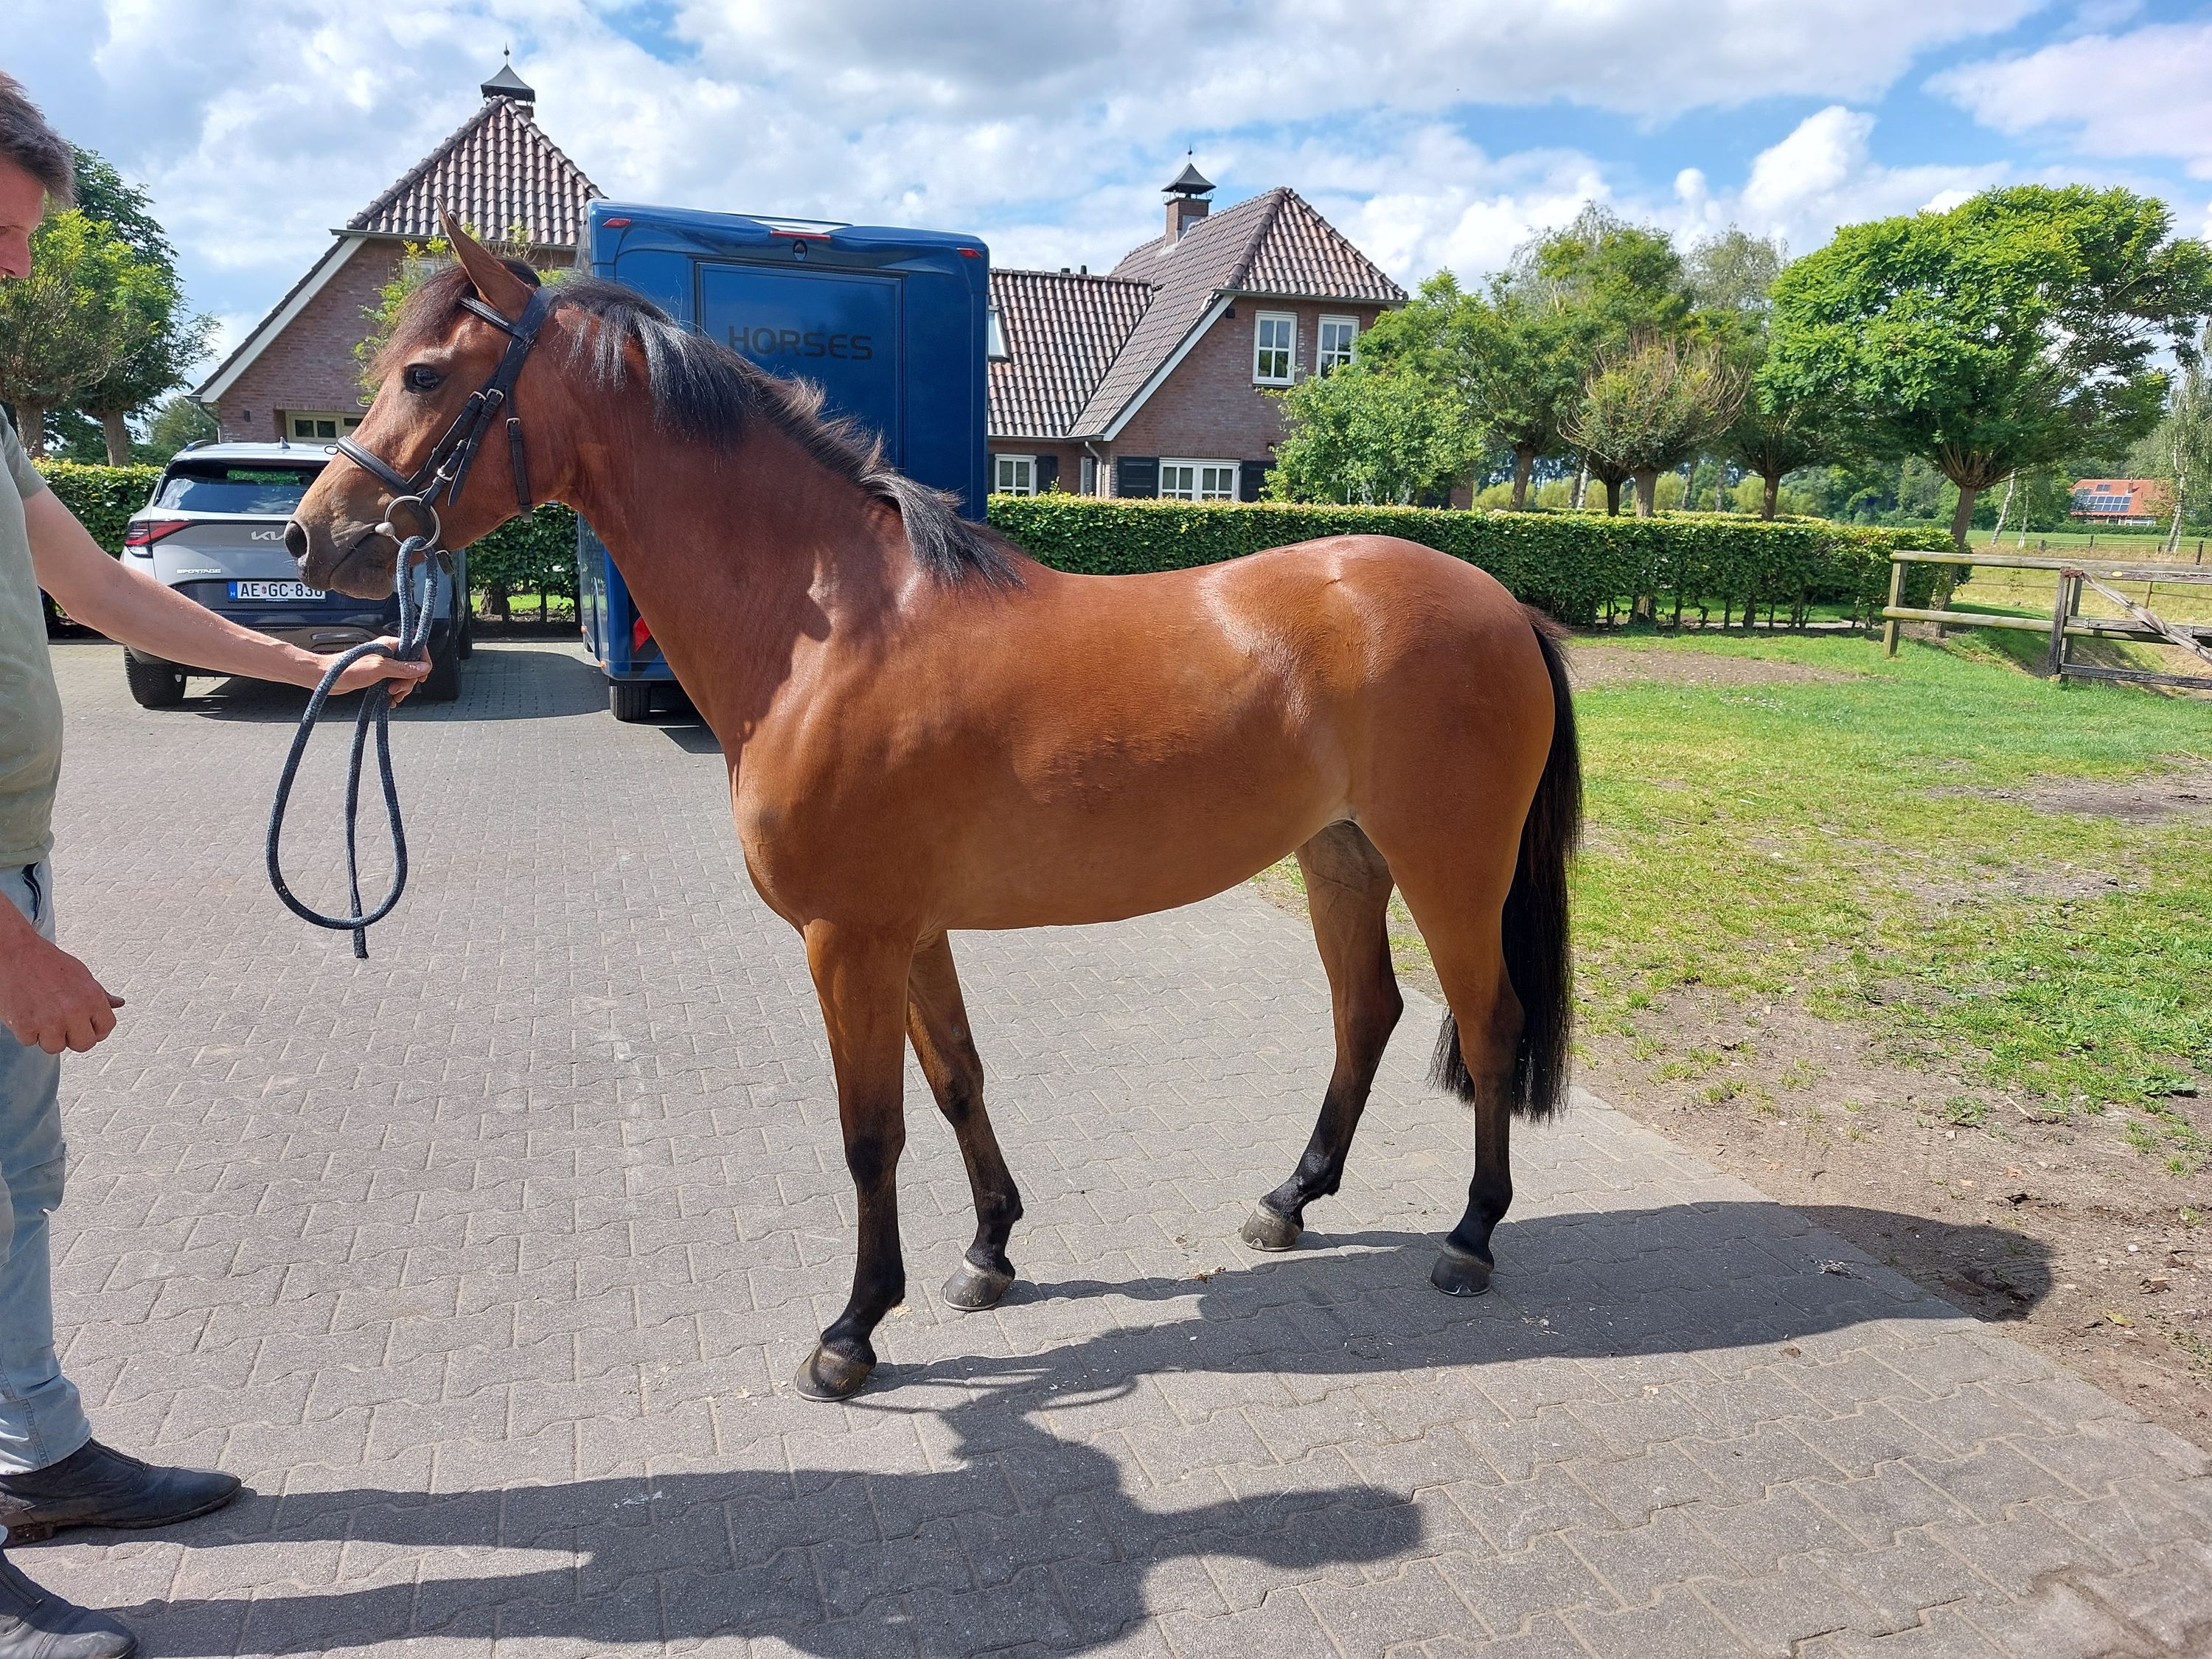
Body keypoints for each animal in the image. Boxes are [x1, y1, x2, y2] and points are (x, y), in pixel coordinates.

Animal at [285, 218, 1583, 1402]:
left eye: (425, 374)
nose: (312, 533)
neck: (831, 631)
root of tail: (1505, 605)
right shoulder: (907, 931)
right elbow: (958, 1078)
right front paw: (989, 1252)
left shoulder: (846, 938)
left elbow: (871, 1131)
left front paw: (853, 1329)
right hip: (1340, 855)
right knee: (1367, 1014)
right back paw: (1289, 1198)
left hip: (1449, 866)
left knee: (1487, 1025)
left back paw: (1470, 1236)